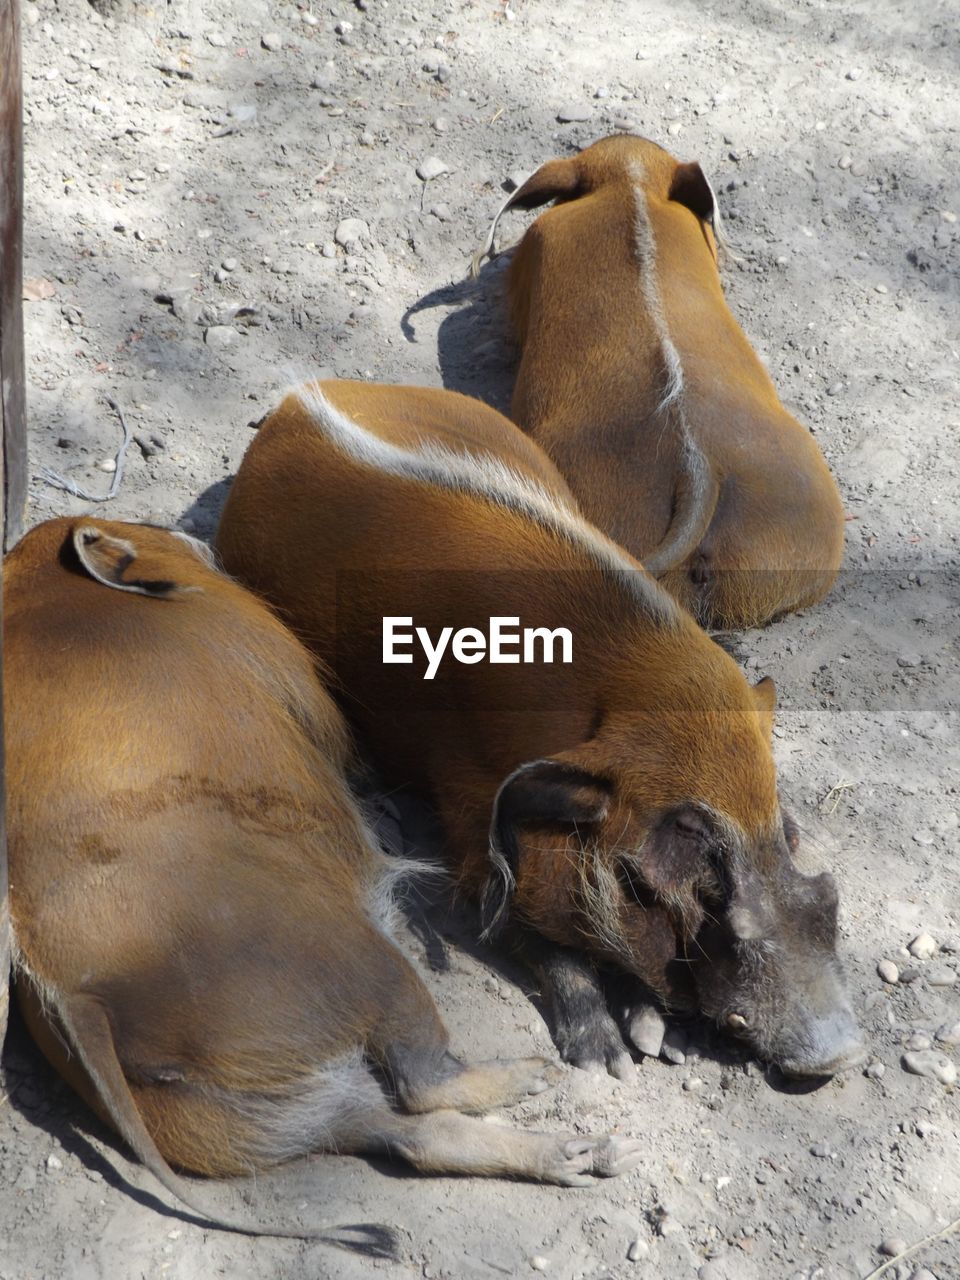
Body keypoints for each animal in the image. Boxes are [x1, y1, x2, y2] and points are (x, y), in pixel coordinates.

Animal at [216, 376, 865, 1080]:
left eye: (787, 831)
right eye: (681, 841)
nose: (842, 1051)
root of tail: (299, 394)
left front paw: (657, 1041)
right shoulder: (470, 817)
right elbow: (536, 935)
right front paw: (609, 1061)